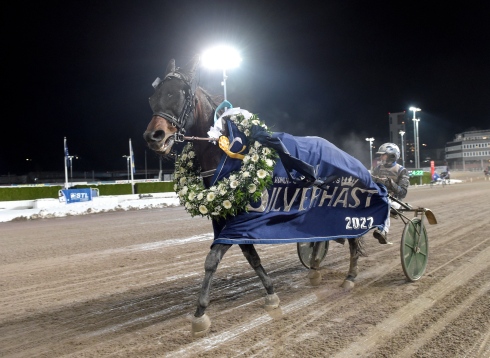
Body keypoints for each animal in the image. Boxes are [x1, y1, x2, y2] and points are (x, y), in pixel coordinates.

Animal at [144, 54, 366, 338]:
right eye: (153, 98)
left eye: (180, 94)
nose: (154, 136)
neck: (228, 156)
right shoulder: (226, 219)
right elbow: (251, 257)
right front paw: (271, 294)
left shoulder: (241, 219)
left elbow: (212, 260)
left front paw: (200, 313)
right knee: (321, 239)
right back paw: (316, 270)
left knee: (352, 239)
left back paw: (350, 277)